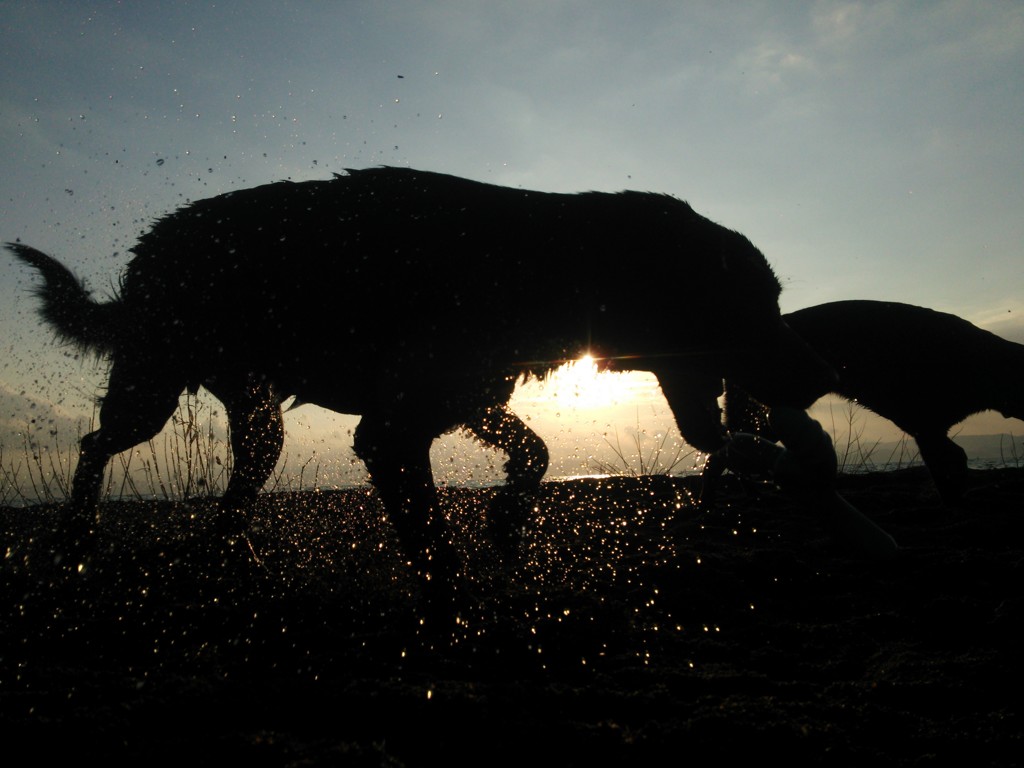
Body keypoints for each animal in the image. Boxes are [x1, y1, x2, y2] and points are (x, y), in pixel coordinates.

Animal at [8, 165, 831, 593]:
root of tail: (151, 250)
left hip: (253, 413)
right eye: (761, 301)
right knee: (94, 444)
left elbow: (534, 454)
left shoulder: (468, 399)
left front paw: (506, 522)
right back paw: (75, 538)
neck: (553, 260)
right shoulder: (393, 430)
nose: (823, 370)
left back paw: (234, 557)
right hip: (152, 389)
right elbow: (436, 544)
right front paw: (457, 595)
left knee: (231, 485)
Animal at [720, 301, 1024, 505]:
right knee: (729, 449)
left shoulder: (932, 430)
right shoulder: (927, 429)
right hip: (761, 413)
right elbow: (946, 469)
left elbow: (953, 464)